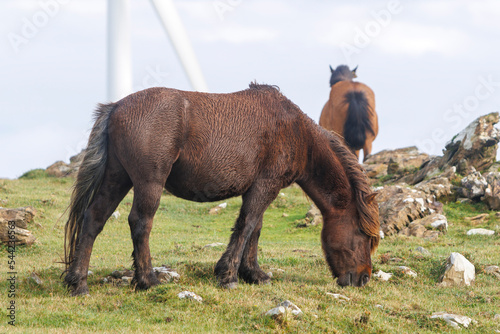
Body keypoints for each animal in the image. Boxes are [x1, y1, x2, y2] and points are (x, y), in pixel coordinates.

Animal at [63, 83, 378, 294]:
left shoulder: (260, 188)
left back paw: (78, 283)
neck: (298, 134)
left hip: (117, 178)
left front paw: (254, 273)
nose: (363, 279)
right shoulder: (266, 185)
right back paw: (148, 280)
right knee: (140, 223)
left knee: (93, 219)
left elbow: (255, 228)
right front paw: (228, 276)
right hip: (149, 183)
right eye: (363, 235)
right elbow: (247, 226)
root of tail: (116, 107)